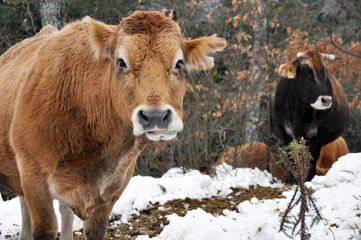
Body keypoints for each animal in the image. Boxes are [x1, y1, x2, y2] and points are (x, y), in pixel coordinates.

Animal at [0, 11, 225, 240]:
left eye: (179, 63)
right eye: (121, 61)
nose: (155, 115)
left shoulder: (116, 183)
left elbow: (95, 229)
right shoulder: (32, 171)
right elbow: (44, 228)